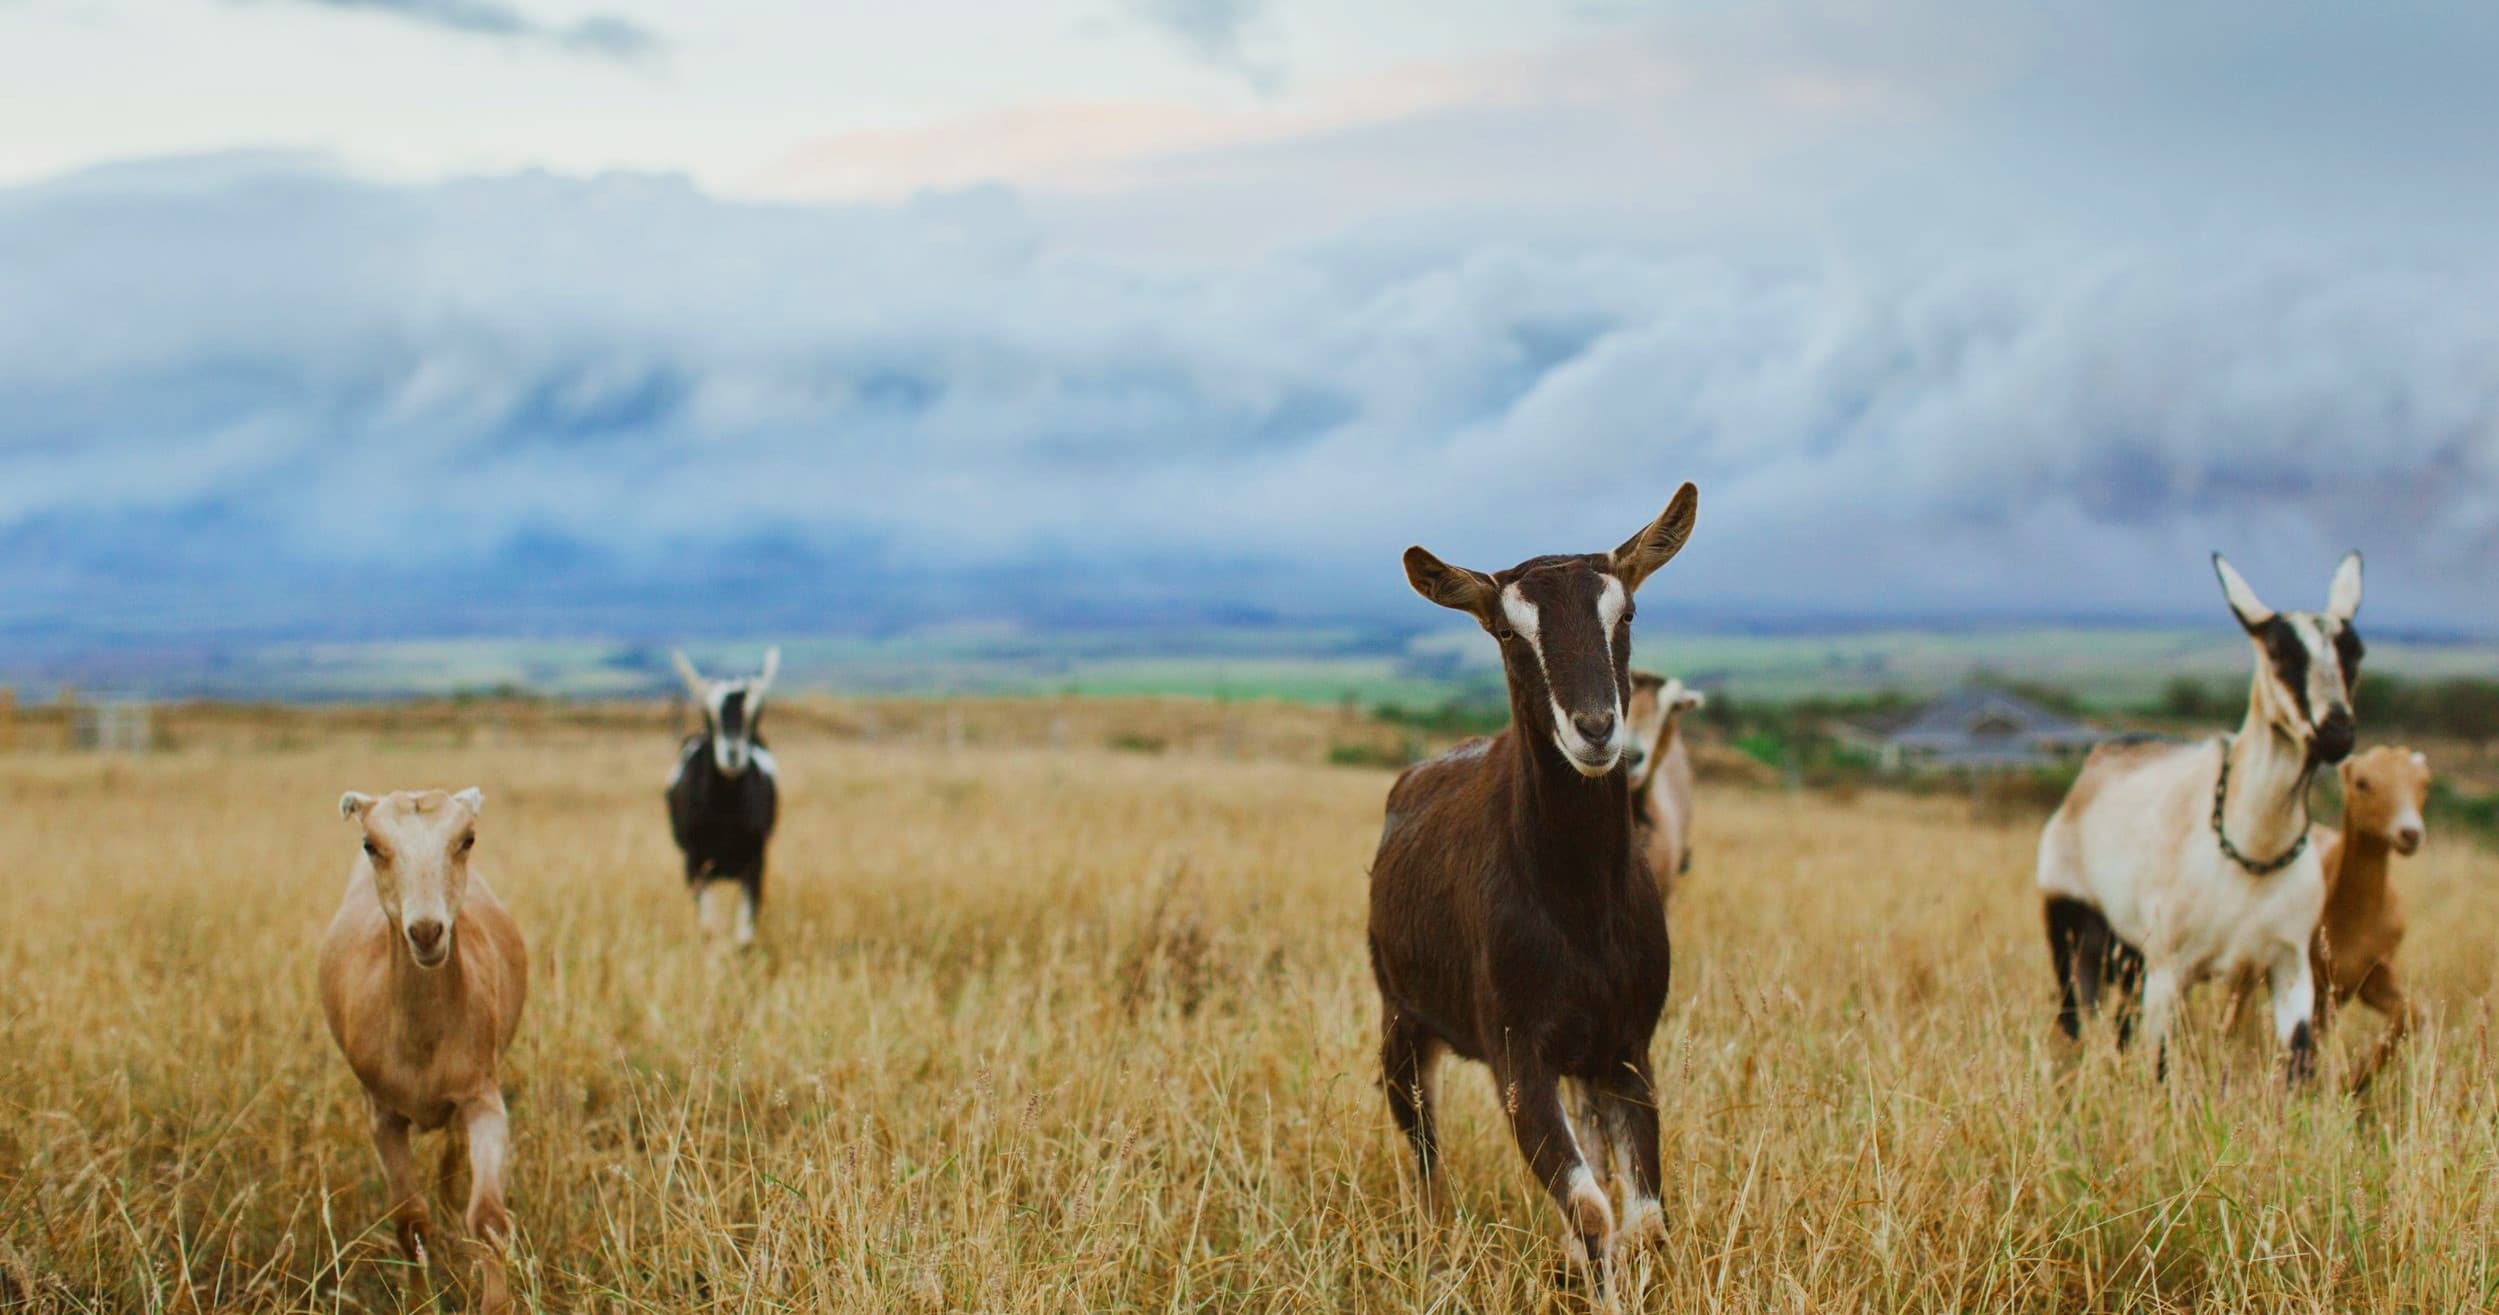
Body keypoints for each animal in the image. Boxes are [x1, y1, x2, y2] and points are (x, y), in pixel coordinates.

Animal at [320, 788, 526, 1315]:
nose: (428, 932)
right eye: (370, 844)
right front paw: (418, 1301)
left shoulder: (482, 1097)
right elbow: (410, 1220)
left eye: (467, 839)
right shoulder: (383, 1115)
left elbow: (489, 1219)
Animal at [666, 648, 780, 947]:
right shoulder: (695, 863)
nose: (733, 754)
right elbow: (708, 930)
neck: (725, 812)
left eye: (754, 714)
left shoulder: (755, 861)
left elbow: (745, 937)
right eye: (709, 715)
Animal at [1368, 482, 1696, 1281]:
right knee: (1423, 1149)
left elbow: (1644, 1221)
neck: (1578, 904)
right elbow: (1590, 1207)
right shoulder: (1519, 1056)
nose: (1597, 729)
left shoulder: (1625, 1045)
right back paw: (1433, 1249)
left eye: (1626, 613)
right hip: (1401, 1018)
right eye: (1507, 633)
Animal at [2037, 551, 2363, 1086]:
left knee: (2119, 1021)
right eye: (2279, 652)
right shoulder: (2169, 969)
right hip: (2070, 922)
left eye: (2354, 652)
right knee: (2074, 1015)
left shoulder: (2289, 965)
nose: (2336, 731)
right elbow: (2160, 1064)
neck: (2252, 847)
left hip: (2128, 953)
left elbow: (2298, 1062)